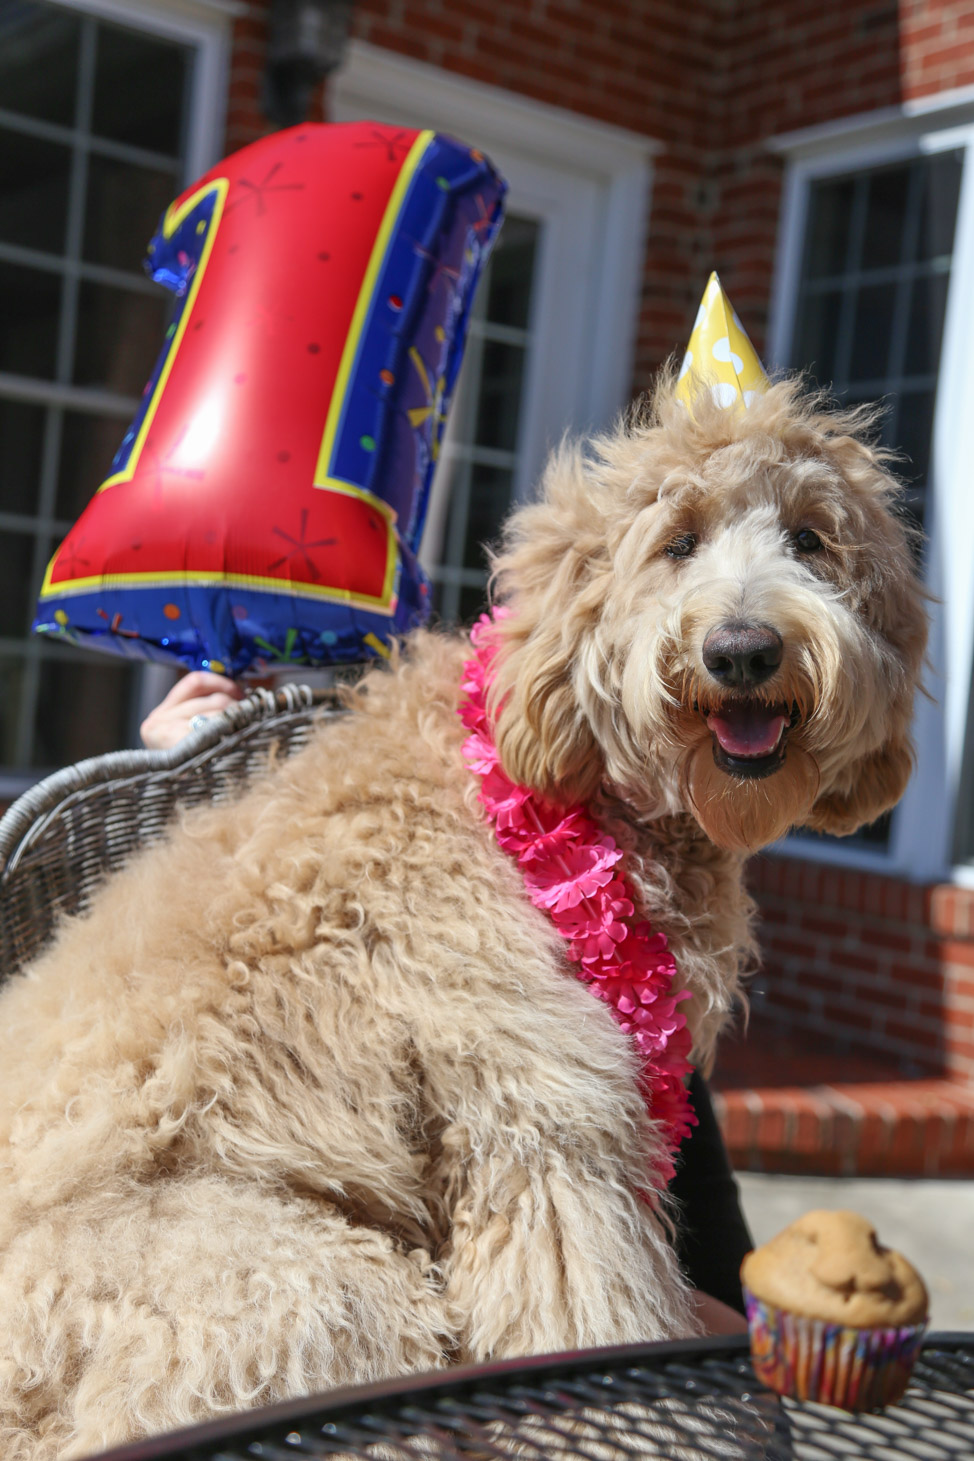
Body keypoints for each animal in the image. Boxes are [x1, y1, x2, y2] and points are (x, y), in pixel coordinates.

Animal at [0, 374, 928, 1449]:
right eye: (678, 541)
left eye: (812, 539)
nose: (744, 650)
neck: (573, 785)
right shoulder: (542, 1117)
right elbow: (589, 1309)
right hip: (307, 1285)